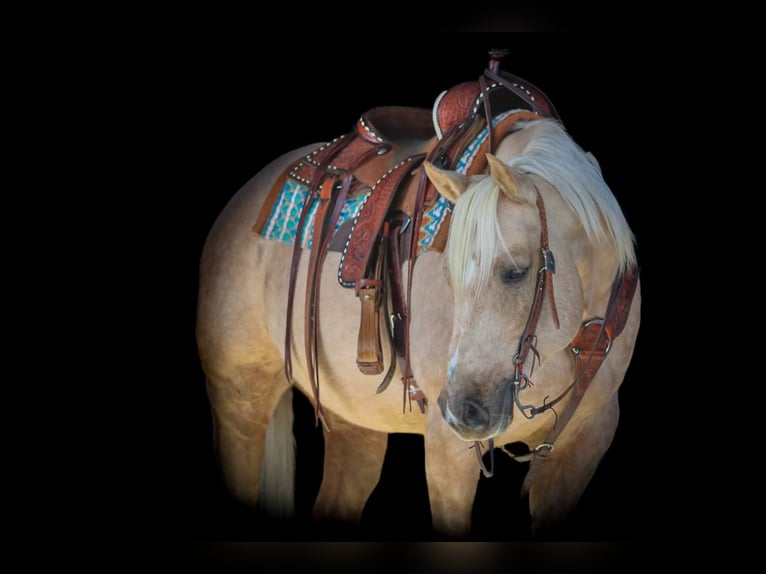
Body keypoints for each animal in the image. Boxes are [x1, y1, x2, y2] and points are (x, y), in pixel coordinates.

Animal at [195, 60, 641, 538]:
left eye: (516, 272)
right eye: (448, 276)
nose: (464, 410)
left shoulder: (583, 446)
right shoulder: (449, 452)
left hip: (353, 423)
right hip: (240, 398)